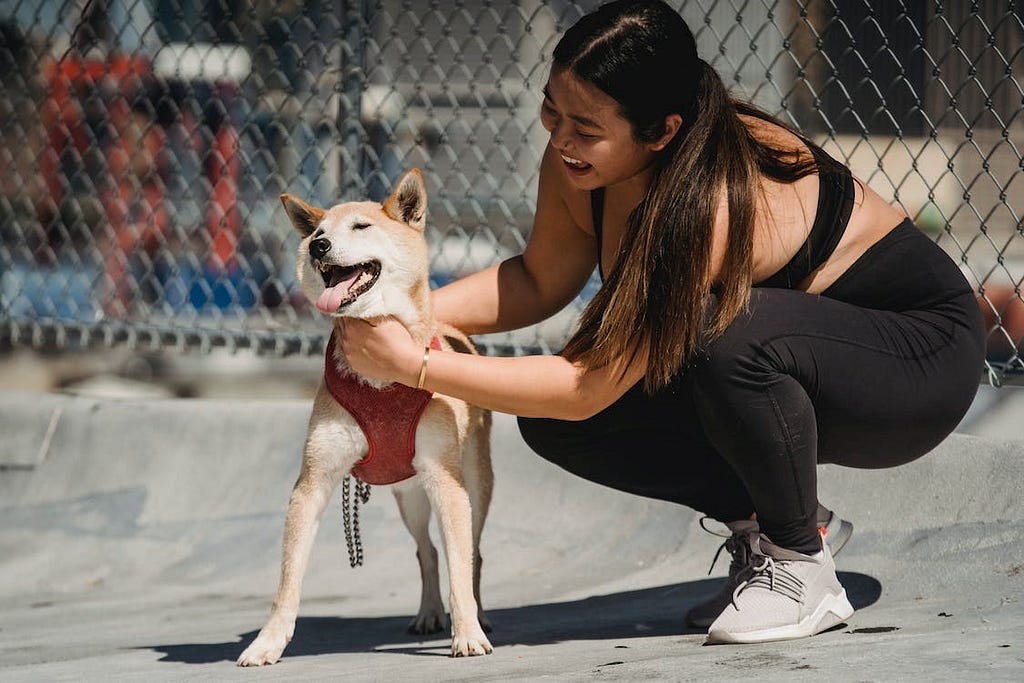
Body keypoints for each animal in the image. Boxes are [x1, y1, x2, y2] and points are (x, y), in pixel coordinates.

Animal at [239, 167, 495, 663]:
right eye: (317, 232)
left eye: (361, 227)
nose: (318, 246)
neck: (379, 378)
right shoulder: (312, 483)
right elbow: (288, 581)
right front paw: (268, 642)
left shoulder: (448, 483)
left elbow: (460, 571)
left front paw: (468, 634)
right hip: (410, 499)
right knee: (426, 552)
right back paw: (428, 613)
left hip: (473, 485)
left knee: (471, 554)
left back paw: (477, 614)